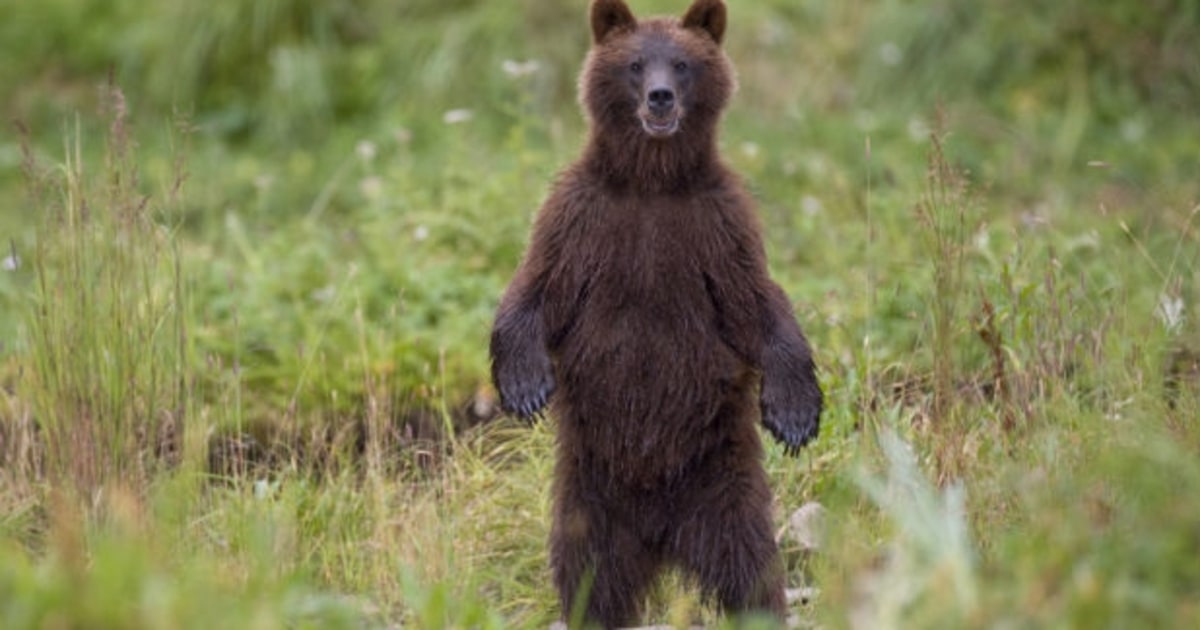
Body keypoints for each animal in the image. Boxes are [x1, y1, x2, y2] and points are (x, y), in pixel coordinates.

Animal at [489, 0, 823, 626]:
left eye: (684, 64)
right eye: (636, 64)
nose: (661, 97)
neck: (652, 181)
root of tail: (662, 540)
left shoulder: (716, 228)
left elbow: (758, 306)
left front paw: (795, 412)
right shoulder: (583, 219)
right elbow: (536, 289)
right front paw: (524, 385)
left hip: (725, 486)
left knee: (751, 571)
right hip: (589, 497)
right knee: (590, 577)